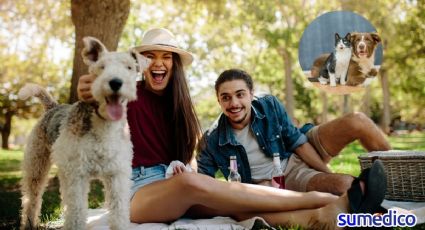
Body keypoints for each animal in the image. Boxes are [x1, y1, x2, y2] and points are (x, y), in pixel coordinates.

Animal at [18, 36, 147, 229]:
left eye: (129, 67)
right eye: (101, 66)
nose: (116, 82)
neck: (103, 127)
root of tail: (52, 107)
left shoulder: (117, 174)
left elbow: (119, 212)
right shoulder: (77, 174)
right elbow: (77, 213)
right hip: (37, 164)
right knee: (31, 198)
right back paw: (29, 223)